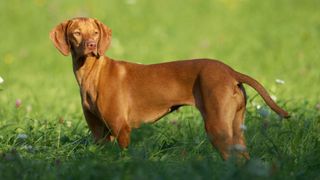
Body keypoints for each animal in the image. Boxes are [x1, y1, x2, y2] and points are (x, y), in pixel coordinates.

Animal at [50, 17, 290, 160]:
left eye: (95, 33)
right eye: (77, 33)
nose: (91, 45)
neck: (92, 73)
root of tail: (231, 71)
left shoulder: (121, 130)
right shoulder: (99, 134)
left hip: (217, 127)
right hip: (236, 128)